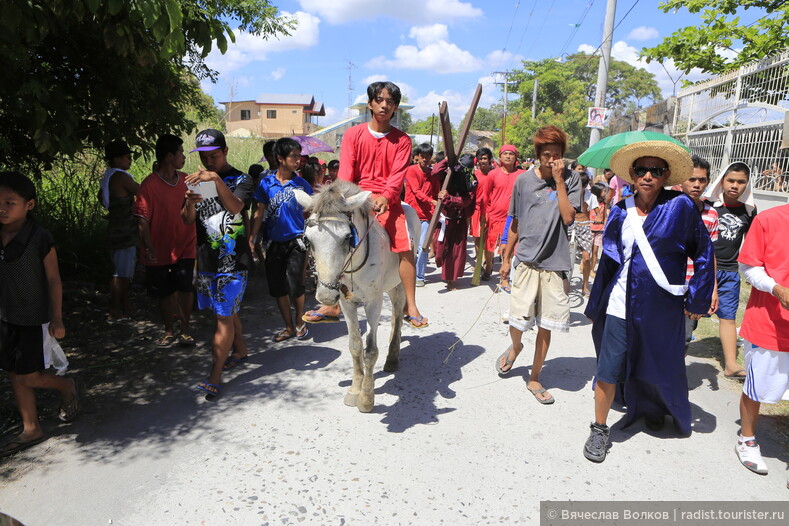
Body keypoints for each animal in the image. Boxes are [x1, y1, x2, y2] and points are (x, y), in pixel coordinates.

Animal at [294, 184, 418, 414]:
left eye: (346, 237)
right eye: (308, 239)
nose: (325, 295)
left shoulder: (373, 303)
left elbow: (370, 350)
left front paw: (366, 396)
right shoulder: (347, 303)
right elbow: (354, 345)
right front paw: (354, 389)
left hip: (398, 281)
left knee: (398, 311)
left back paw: (393, 355)